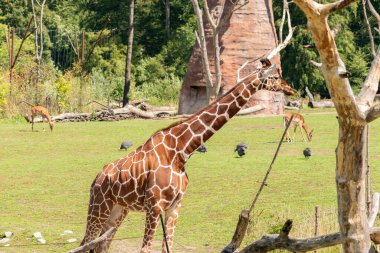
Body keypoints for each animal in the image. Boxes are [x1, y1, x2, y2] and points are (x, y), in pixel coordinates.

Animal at [77, 58, 296, 252]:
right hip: (99, 208)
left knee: (101, 245)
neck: (181, 150)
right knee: (85, 243)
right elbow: (146, 249)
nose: (291, 90)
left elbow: (168, 247)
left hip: (118, 211)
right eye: (275, 77)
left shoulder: (175, 205)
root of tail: (96, 179)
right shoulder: (154, 206)